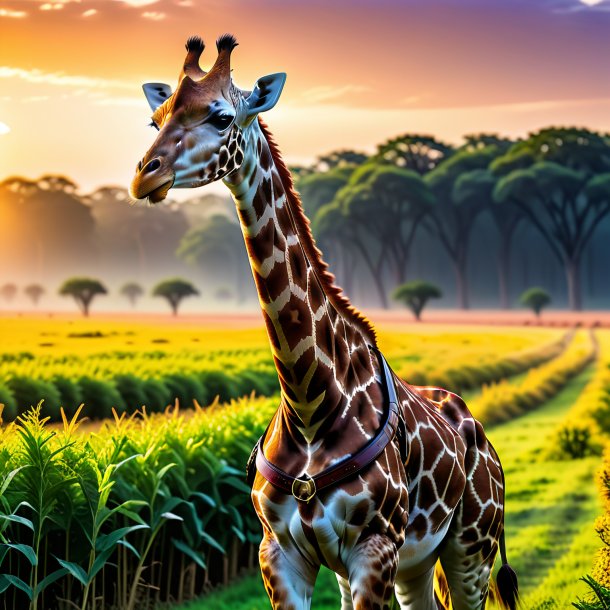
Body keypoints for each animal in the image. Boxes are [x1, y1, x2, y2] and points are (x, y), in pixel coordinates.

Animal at [129, 34, 516, 608]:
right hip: (416, 563)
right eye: (155, 118)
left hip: (472, 547)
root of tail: (482, 436)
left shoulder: (374, 549)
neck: (308, 401)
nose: (144, 175)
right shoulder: (281, 553)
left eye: (221, 117)